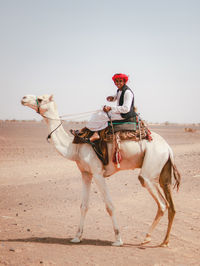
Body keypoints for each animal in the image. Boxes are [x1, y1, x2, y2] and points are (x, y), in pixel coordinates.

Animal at [21, 94, 180, 247]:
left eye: (40, 99)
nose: (23, 98)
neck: (75, 146)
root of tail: (168, 149)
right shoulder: (86, 173)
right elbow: (84, 206)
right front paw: (77, 237)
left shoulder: (98, 173)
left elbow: (110, 206)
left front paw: (118, 239)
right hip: (163, 171)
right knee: (171, 206)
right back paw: (164, 242)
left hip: (150, 168)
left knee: (161, 202)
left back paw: (146, 238)